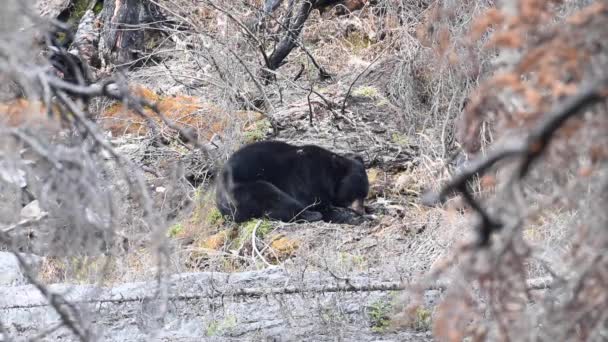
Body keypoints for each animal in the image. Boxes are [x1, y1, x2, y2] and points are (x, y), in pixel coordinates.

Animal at [217, 140, 370, 223]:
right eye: (355, 193)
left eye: (364, 195)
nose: (361, 211)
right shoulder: (307, 178)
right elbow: (316, 203)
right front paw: (350, 216)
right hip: (245, 190)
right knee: (276, 198)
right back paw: (312, 215)